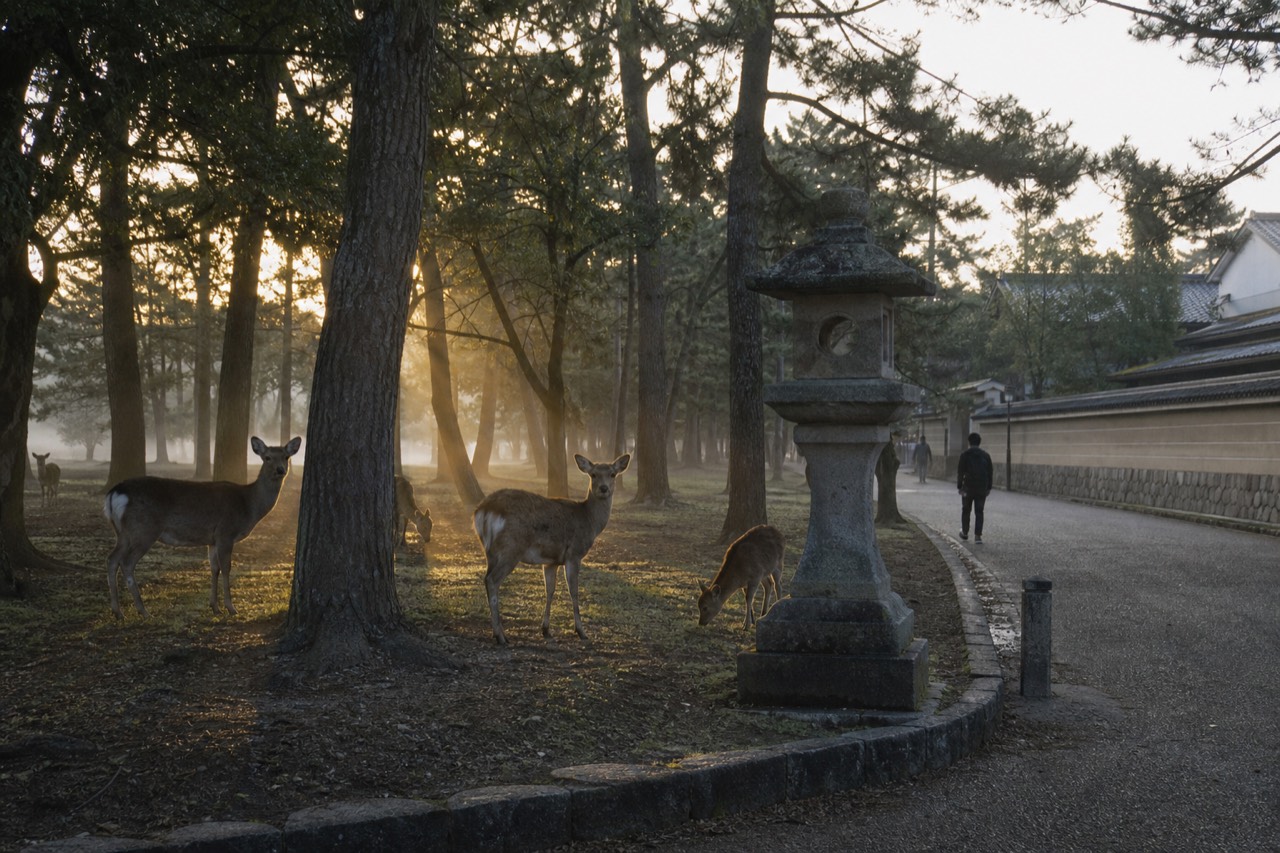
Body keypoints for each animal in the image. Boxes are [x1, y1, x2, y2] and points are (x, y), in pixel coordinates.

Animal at [103, 435, 301, 619]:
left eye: (286, 456)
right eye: (267, 457)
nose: (280, 470)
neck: (248, 505)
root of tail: (115, 493)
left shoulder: (212, 539)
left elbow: (214, 568)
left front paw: (214, 607)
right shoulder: (225, 532)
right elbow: (227, 568)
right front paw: (231, 608)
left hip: (123, 532)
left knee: (112, 559)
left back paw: (117, 611)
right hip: (144, 529)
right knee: (126, 562)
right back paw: (143, 611)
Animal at [473, 453, 630, 645]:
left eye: (612, 474)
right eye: (593, 474)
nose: (603, 488)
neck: (589, 521)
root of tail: (484, 510)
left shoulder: (551, 561)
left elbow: (550, 590)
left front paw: (546, 630)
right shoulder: (574, 553)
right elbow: (573, 591)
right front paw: (581, 631)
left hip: (489, 551)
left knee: (486, 578)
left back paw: (498, 632)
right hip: (511, 548)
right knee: (492, 580)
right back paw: (500, 635)